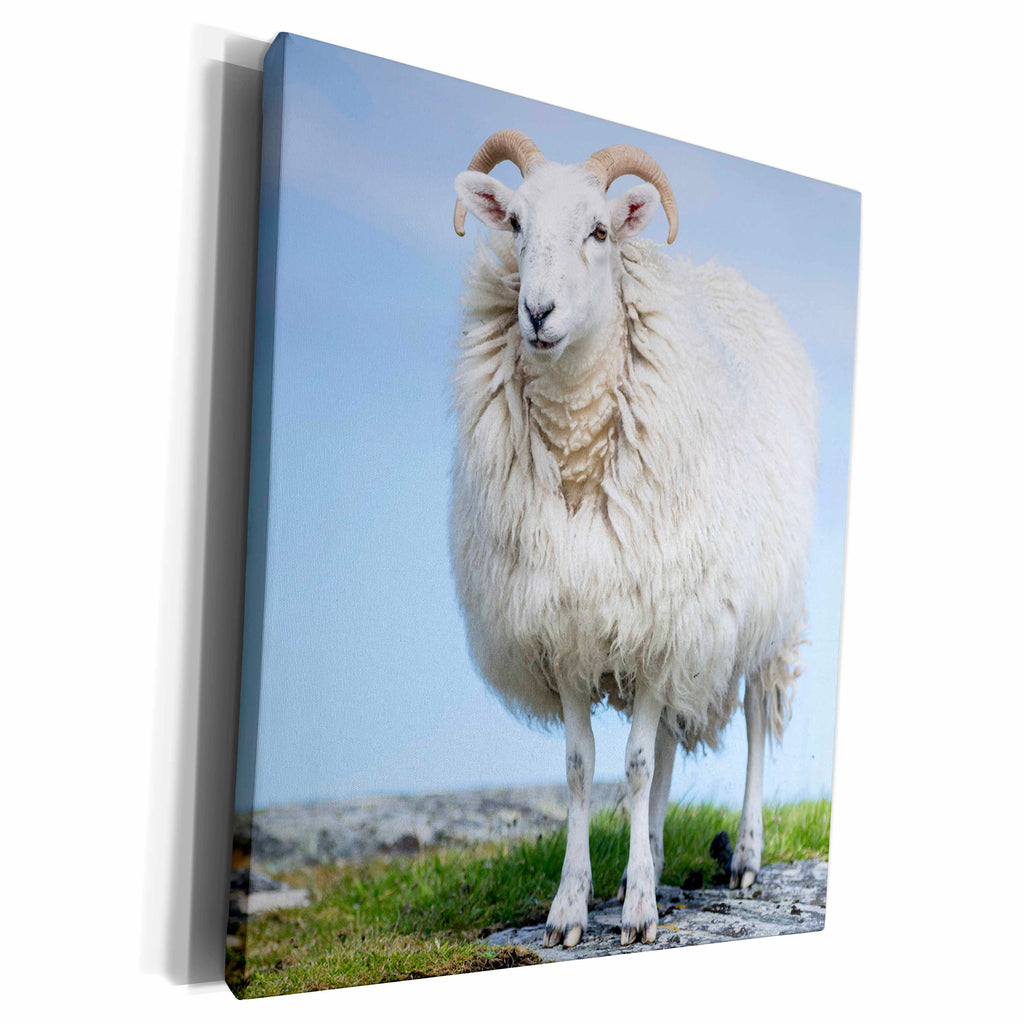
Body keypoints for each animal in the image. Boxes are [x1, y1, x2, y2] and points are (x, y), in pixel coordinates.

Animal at [449, 130, 818, 948]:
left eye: (599, 231)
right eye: (514, 224)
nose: (538, 312)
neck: (580, 453)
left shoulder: (662, 621)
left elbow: (641, 761)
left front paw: (643, 910)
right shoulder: (571, 631)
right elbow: (585, 765)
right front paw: (573, 905)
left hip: (759, 617)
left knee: (751, 721)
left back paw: (745, 858)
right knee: (676, 742)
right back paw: (640, 857)